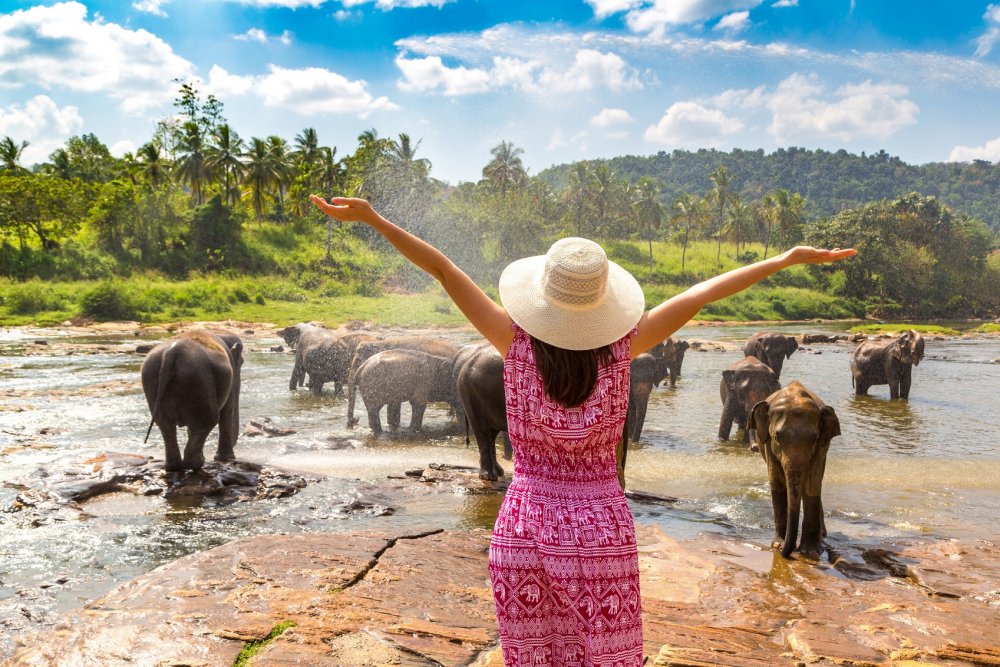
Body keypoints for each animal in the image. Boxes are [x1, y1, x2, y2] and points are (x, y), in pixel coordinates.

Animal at [141, 332, 244, 472]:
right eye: (242, 362)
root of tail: (172, 352)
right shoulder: (230, 375)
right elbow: (227, 410)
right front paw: (226, 459)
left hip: (152, 378)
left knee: (164, 423)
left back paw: (174, 467)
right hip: (198, 378)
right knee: (208, 419)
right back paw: (197, 463)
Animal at [752, 380, 840, 560]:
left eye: (814, 438)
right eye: (777, 437)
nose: (786, 553)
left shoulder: (821, 445)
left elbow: (812, 483)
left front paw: (810, 552)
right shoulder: (768, 443)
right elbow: (776, 480)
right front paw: (777, 544)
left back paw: (823, 535)